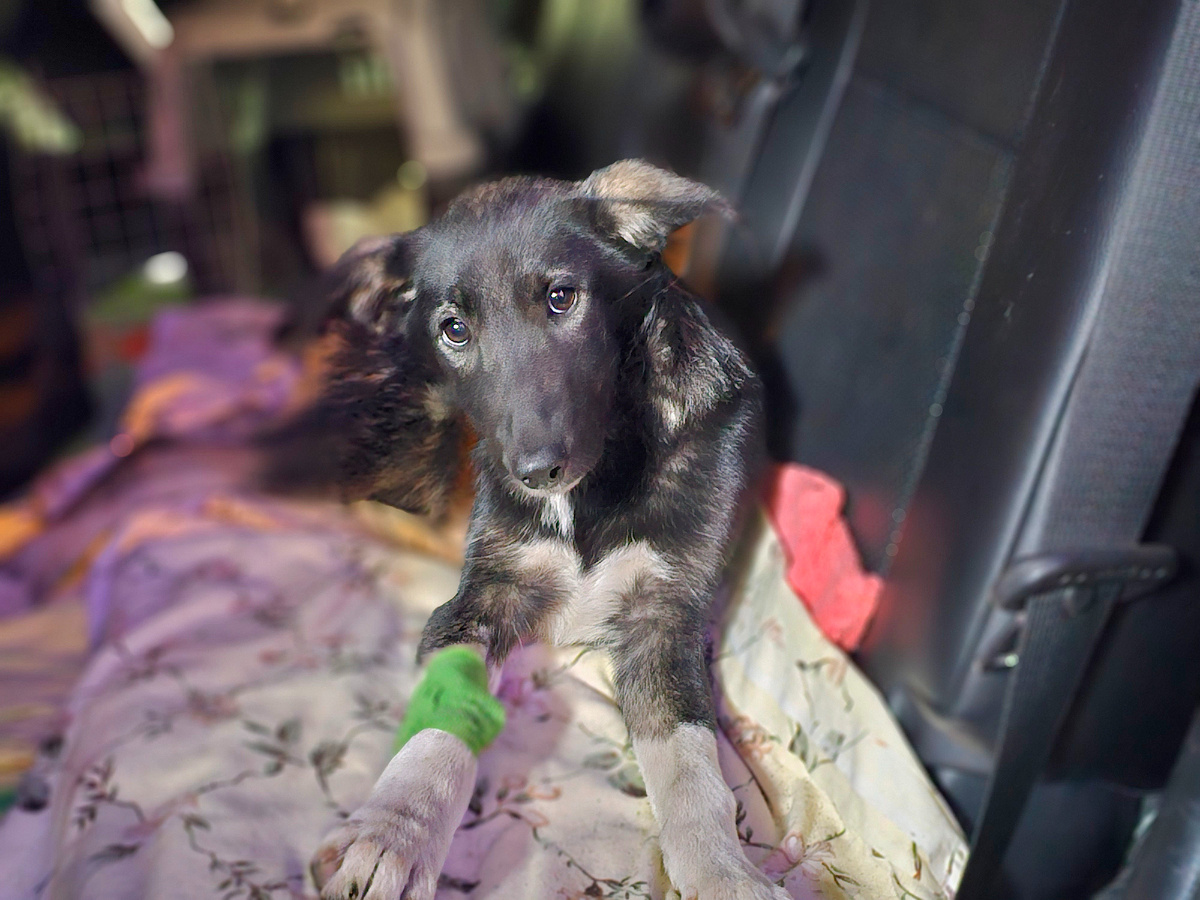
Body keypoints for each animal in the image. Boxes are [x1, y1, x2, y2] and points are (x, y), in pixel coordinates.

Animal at [270, 160, 785, 900]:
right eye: (455, 330)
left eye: (561, 297)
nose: (538, 471)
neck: (595, 484)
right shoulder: (485, 593)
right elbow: (445, 709)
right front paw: (392, 834)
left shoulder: (667, 617)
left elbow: (691, 765)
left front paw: (722, 872)